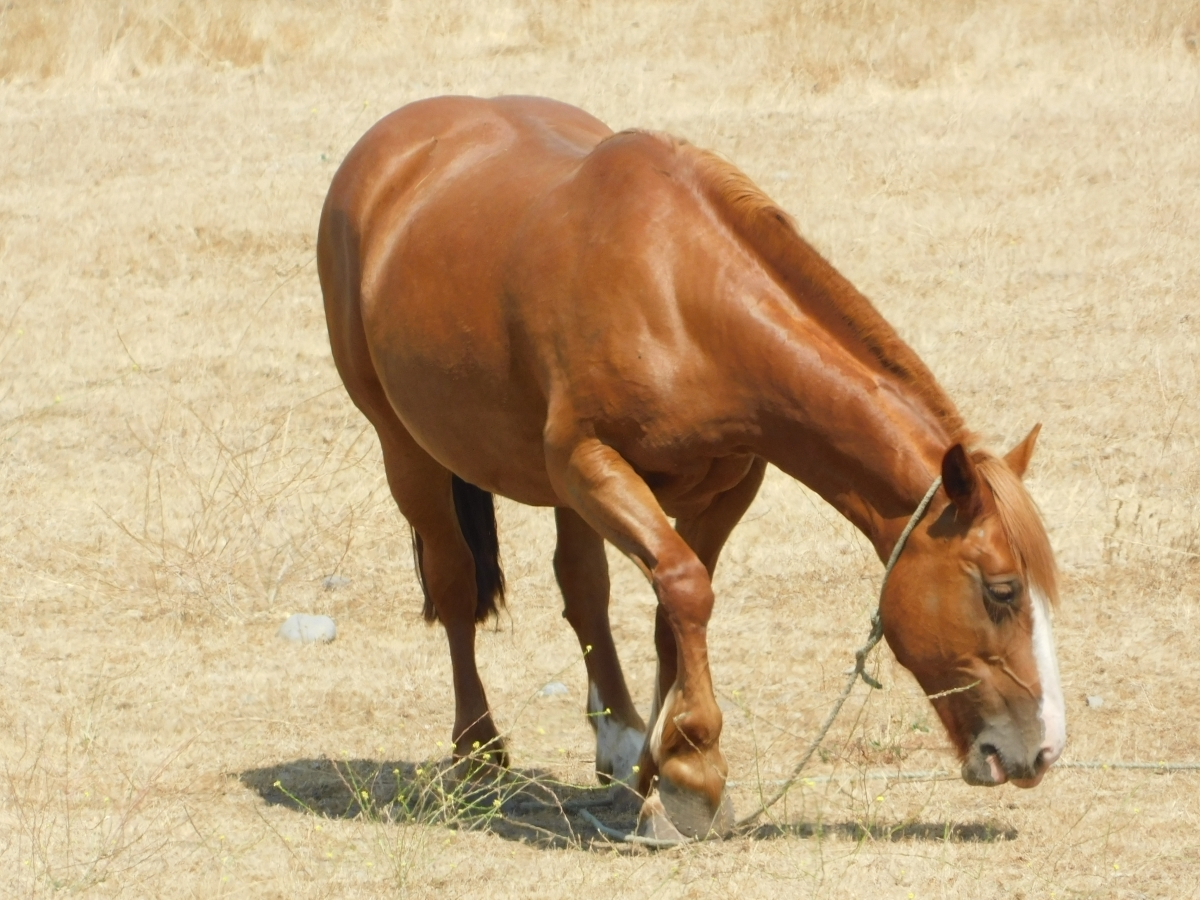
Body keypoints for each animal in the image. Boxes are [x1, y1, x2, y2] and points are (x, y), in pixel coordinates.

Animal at [316, 97, 1060, 840]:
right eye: (1002, 591)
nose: (1044, 750)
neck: (681, 294)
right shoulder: (590, 462)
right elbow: (684, 588)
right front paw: (693, 774)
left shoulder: (727, 483)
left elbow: (670, 610)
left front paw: (658, 765)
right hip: (408, 449)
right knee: (455, 582)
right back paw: (477, 753)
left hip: (559, 489)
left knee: (583, 589)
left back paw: (617, 741)